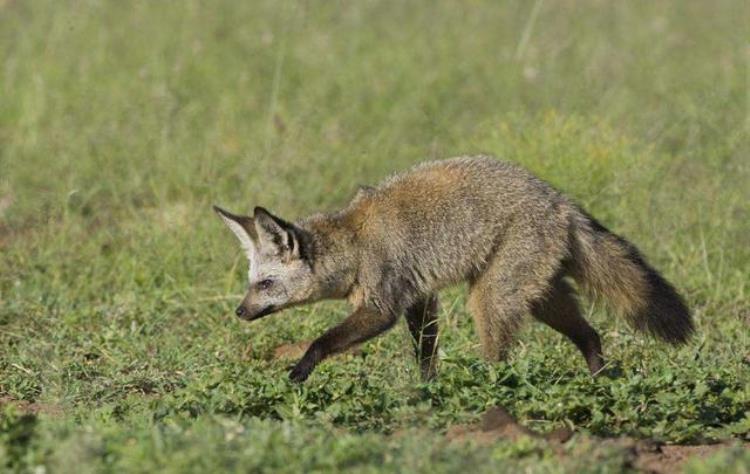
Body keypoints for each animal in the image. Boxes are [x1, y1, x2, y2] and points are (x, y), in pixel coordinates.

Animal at [212, 156, 692, 382]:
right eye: (250, 284)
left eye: (266, 283)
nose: (238, 312)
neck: (356, 242)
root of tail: (561, 200)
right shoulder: (420, 298)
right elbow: (426, 354)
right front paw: (428, 392)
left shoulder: (383, 307)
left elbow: (321, 341)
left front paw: (301, 369)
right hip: (540, 297)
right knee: (591, 335)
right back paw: (597, 380)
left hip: (491, 298)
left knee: (501, 359)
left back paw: (491, 391)